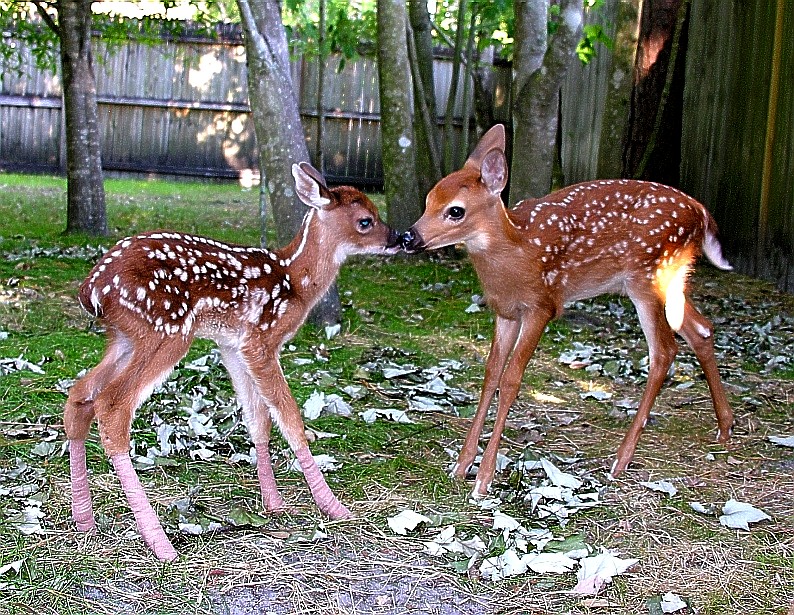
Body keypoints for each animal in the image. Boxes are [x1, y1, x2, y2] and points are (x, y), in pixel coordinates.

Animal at [64, 162, 400, 561]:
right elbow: (290, 418)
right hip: (165, 329)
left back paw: (85, 521)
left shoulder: (232, 346)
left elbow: (258, 420)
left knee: (80, 394)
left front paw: (274, 503)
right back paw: (160, 544)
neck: (296, 281)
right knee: (111, 404)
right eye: (366, 220)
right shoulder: (261, 340)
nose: (400, 238)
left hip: (125, 338)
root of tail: (91, 290)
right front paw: (332, 507)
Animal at [400, 124, 734, 497]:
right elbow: (491, 374)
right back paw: (725, 426)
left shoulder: (542, 306)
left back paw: (621, 459)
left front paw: (484, 478)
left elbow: (511, 379)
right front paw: (461, 465)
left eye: (455, 211)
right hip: (671, 279)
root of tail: (702, 213)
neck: (518, 254)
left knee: (664, 350)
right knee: (701, 329)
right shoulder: (505, 312)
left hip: (648, 276)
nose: (408, 237)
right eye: (429, 200)